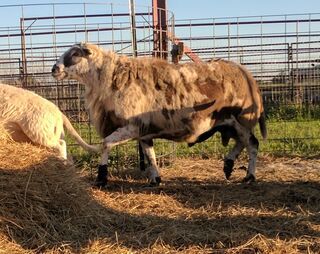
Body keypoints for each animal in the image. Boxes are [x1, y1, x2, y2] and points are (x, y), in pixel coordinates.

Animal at [52, 43, 268, 187]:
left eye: (75, 53)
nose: (54, 69)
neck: (110, 78)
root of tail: (246, 74)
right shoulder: (144, 130)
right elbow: (150, 155)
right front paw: (155, 178)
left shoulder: (132, 126)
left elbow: (106, 144)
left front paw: (101, 177)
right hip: (229, 123)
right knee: (241, 143)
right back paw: (228, 165)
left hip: (241, 119)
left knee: (252, 144)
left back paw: (249, 176)